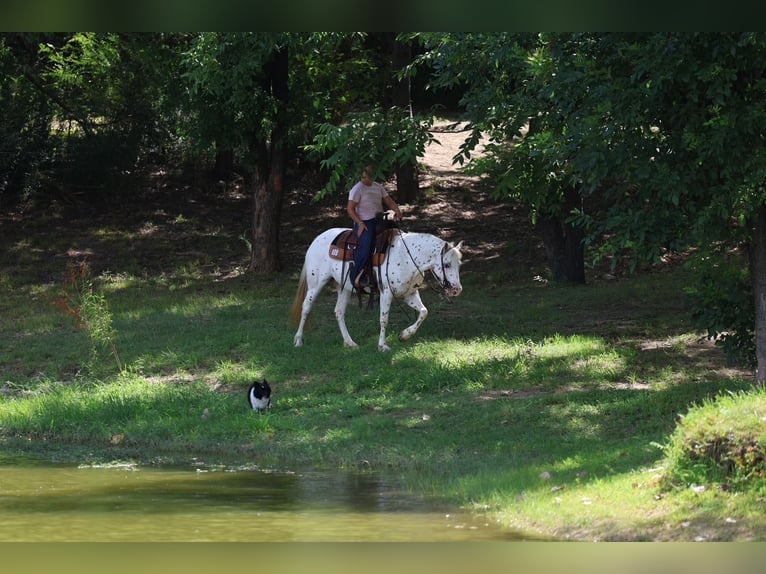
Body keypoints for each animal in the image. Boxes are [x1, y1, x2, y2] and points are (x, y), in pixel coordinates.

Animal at [289, 227, 464, 352]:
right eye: (447, 264)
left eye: (459, 264)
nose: (457, 290)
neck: (406, 257)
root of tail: (317, 239)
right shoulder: (386, 293)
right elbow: (384, 319)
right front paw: (382, 346)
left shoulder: (409, 294)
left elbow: (423, 312)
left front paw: (404, 336)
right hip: (316, 284)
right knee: (306, 307)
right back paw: (298, 341)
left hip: (344, 288)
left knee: (339, 312)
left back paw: (350, 342)